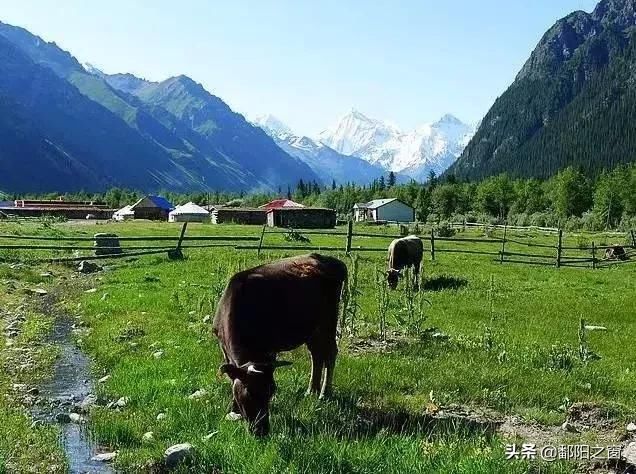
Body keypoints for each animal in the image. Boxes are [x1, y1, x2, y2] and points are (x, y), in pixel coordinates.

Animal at [212, 254, 348, 436]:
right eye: (249, 394)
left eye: (271, 392)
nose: (261, 431)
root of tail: (330, 259)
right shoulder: (224, 348)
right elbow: (232, 376)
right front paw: (234, 410)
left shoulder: (268, 350)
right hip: (312, 328)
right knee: (316, 354)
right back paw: (311, 390)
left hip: (328, 321)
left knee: (330, 353)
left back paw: (324, 393)